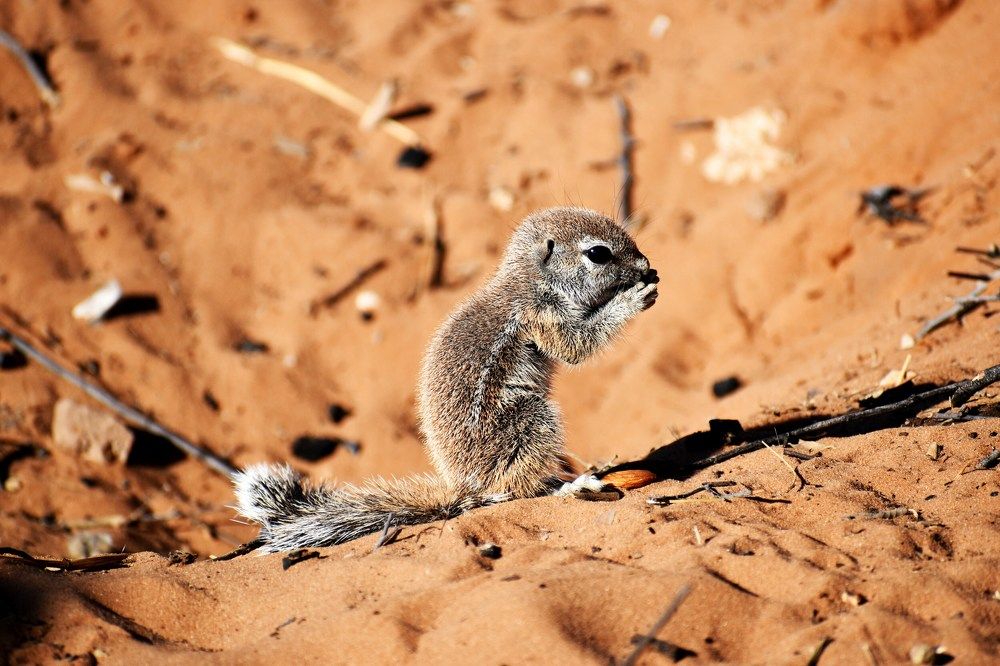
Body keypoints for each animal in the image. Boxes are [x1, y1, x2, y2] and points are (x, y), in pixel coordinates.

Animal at [234, 207, 658, 552]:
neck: (530, 282)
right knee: (519, 488)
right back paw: (570, 485)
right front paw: (632, 299)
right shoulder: (542, 316)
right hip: (530, 420)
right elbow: (575, 346)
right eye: (598, 253)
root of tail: (463, 486)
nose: (646, 264)